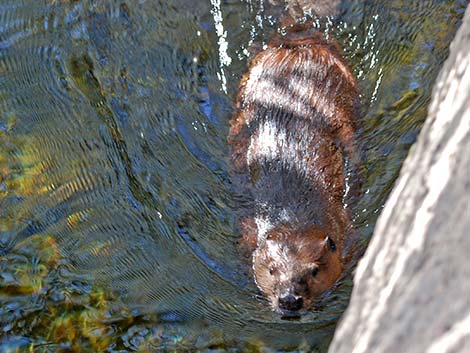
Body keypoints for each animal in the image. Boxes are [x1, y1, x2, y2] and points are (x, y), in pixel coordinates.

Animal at [229, 22, 358, 314]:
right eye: (272, 270)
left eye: (313, 271)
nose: (289, 300)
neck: (294, 216)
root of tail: (297, 40)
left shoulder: (343, 225)